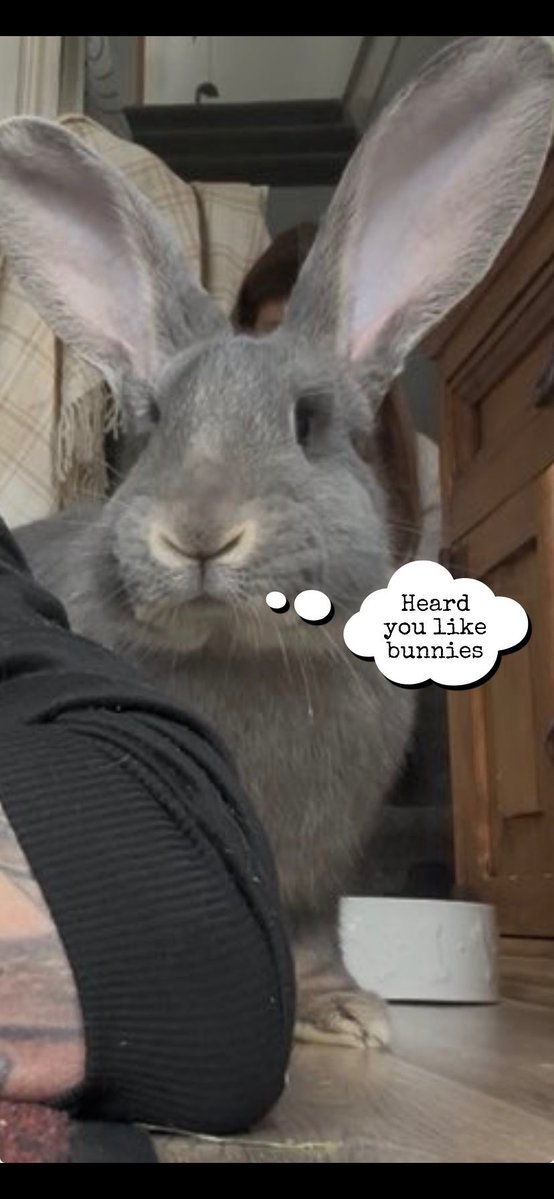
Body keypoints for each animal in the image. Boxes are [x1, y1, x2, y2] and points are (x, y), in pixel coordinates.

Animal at [1, 35, 553, 1050]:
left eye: (309, 421)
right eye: (153, 425)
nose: (199, 533)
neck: (245, 649)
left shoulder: (320, 871)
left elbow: (312, 933)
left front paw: (348, 1014)